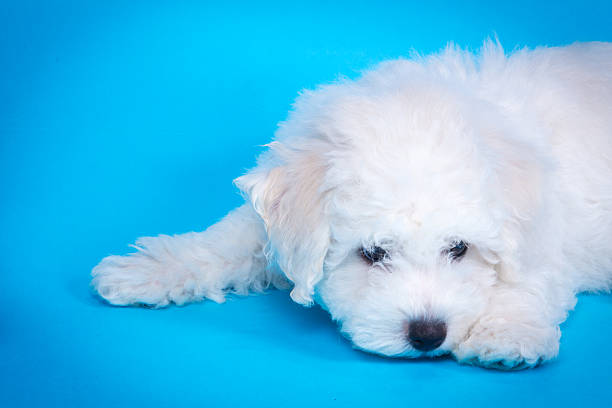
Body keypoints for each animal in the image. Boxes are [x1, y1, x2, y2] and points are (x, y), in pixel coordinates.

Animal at [91, 41, 612, 370]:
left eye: (459, 249)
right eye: (372, 254)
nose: (428, 335)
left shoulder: (546, 238)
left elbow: (525, 284)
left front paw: (504, 335)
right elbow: (226, 242)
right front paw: (145, 271)